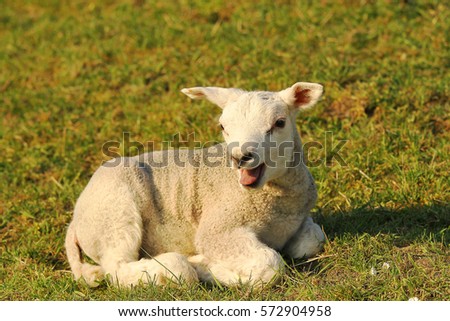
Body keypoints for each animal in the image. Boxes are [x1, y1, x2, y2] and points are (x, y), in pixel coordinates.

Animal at [65, 81, 326, 286]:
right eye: (223, 127)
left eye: (279, 123)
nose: (240, 157)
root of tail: (76, 218)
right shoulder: (218, 229)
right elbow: (269, 265)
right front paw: (208, 268)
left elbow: (314, 240)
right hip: (115, 211)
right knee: (118, 269)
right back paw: (177, 267)